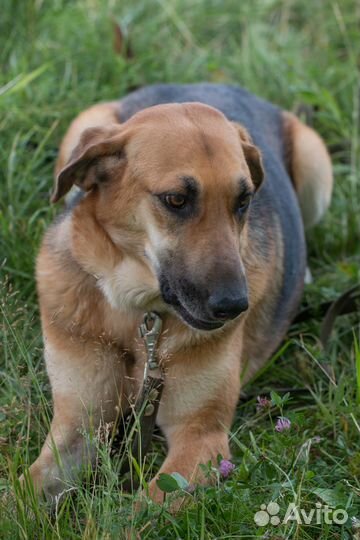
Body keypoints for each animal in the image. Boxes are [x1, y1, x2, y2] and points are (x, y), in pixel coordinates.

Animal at [23, 83, 332, 502]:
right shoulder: (78, 426)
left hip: (316, 167)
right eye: (176, 200)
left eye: (243, 201)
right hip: (84, 123)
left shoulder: (200, 438)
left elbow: (142, 510)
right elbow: (20, 496)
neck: (136, 312)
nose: (234, 306)